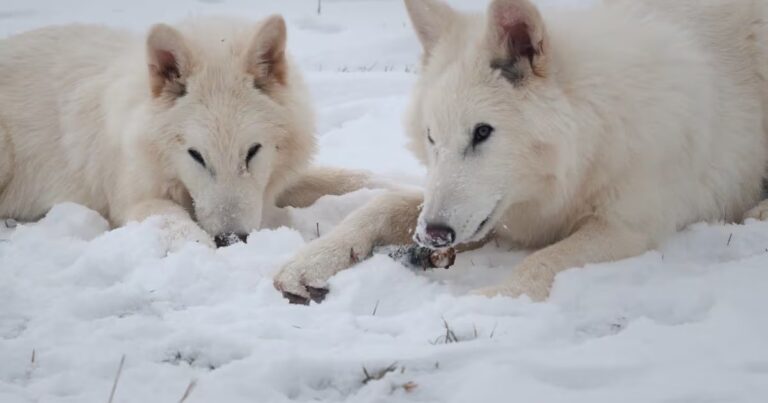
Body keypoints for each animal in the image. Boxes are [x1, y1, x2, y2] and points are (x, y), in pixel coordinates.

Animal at [0, 16, 373, 249]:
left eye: (252, 152)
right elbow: (179, 226)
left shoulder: (277, 182)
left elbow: (349, 179)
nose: (232, 240)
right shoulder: (134, 201)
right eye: (196, 156)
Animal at [275, 0, 768, 304]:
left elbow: (544, 261)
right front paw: (310, 259)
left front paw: (487, 303)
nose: (433, 236)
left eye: (482, 132)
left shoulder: (627, 228)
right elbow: (381, 203)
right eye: (432, 138)